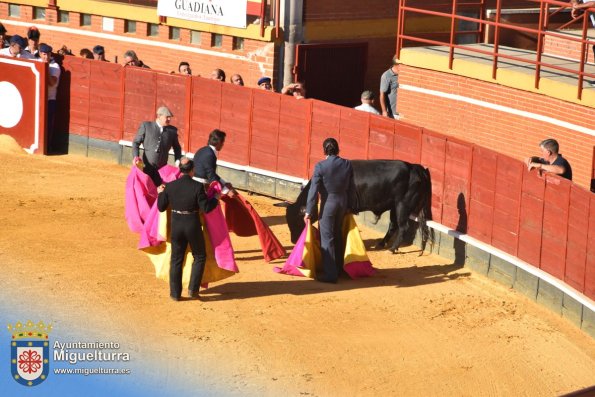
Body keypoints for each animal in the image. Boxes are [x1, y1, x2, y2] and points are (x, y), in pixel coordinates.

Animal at [278, 159, 436, 252]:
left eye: (296, 220)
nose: (293, 240)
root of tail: (415, 167)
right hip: (394, 206)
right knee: (393, 226)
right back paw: (381, 244)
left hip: (402, 205)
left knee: (403, 227)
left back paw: (392, 249)